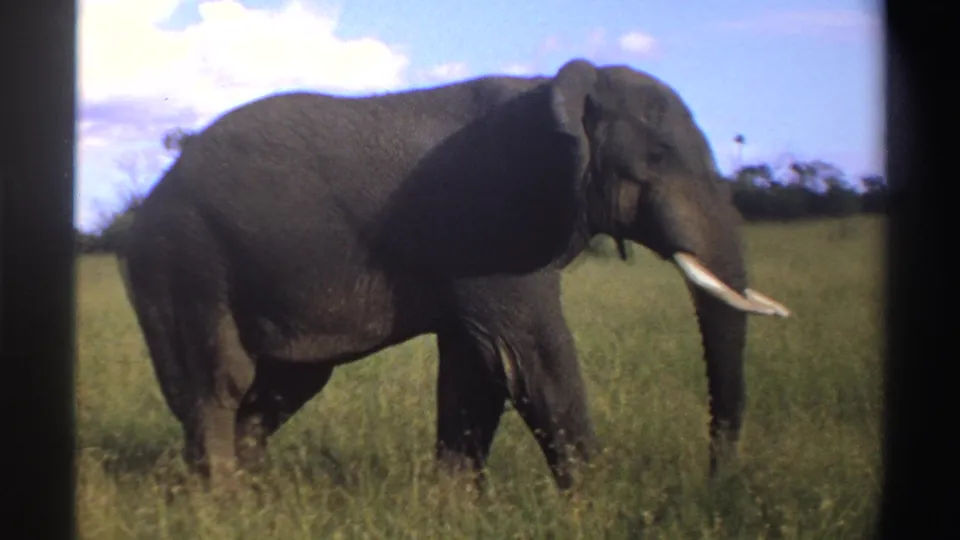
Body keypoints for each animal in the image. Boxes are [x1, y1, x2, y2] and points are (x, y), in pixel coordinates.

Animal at [118, 58, 790, 492]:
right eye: (656, 157)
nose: (716, 481)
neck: (561, 91)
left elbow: (477, 369)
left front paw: (455, 508)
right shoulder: (491, 222)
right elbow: (531, 359)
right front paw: (597, 507)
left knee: (286, 385)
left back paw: (253, 495)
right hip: (183, 258)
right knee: (218, 381)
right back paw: (221, 504)